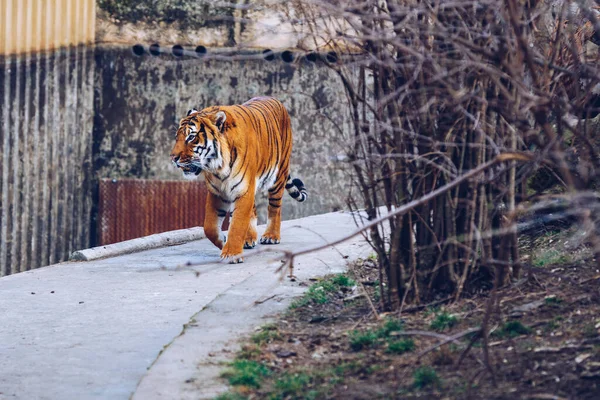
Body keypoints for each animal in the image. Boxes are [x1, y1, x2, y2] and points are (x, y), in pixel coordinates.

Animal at [171, 97, 308, 264]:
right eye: (176, 137)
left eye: (191, 137)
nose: (173, 158)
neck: (218, 168)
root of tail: (274, 100)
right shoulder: (217, 192)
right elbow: (209, 227)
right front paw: (223, 241)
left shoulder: (243, 190)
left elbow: (237, 223)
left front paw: (231, 253)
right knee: (253, 211)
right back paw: (249, 239)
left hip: (278, 175)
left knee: (275, 208)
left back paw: (271, 236)